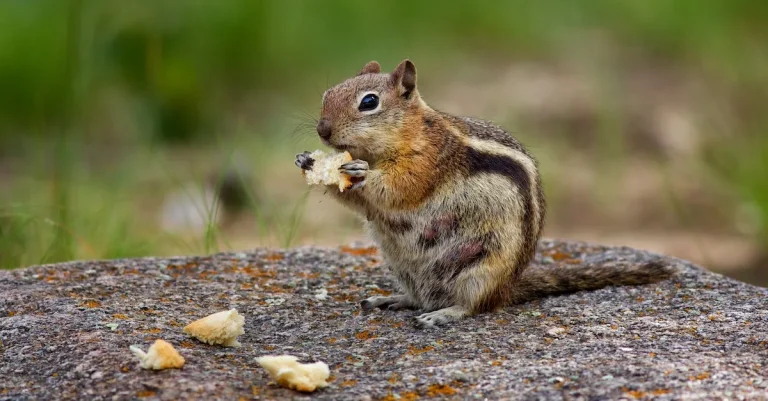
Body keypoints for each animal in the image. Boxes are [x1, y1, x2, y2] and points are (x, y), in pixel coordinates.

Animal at [294, 59, 672, 328]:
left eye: (369, 102)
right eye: (328, 94)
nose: (322, 130)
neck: (410, 132)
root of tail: (507, 289)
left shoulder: (429, 162)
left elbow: (400, 188)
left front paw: (360, 172)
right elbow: (363, 205)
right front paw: (308, 161)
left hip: (481, 269)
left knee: (472, 306)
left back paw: (442, 315)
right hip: (402, 266)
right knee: (423, 296)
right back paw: (395, 300)